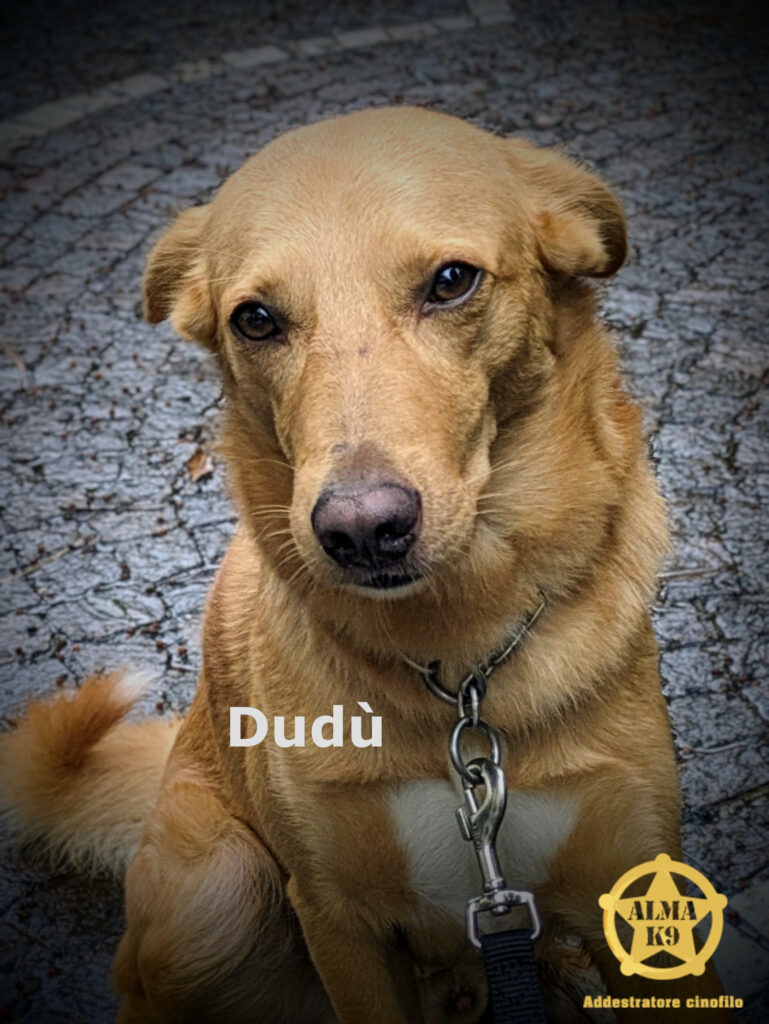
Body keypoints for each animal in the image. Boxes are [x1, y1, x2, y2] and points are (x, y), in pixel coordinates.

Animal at [1, 107, 730, 1022]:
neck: (459, 677)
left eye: (451, 281)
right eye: (255, 320)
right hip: (222, 892)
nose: (361, 531)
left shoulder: (632, 890)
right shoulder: (337, 917)